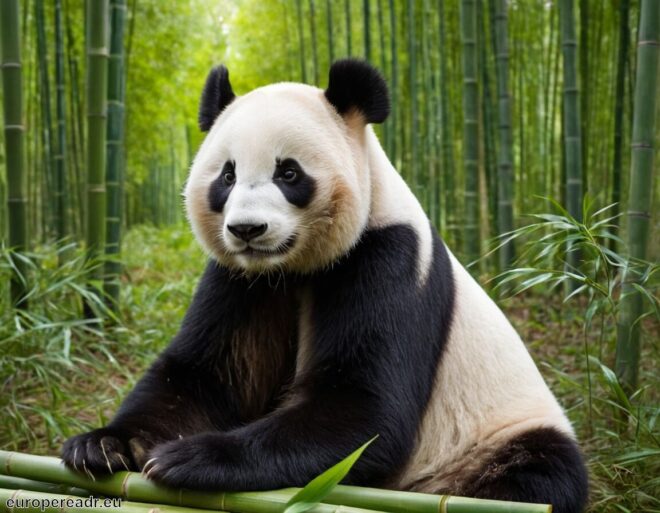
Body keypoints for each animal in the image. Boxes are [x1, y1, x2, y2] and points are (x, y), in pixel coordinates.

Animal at [62, 59, 588, 513]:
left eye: (288, 172)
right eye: (227, 175)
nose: (247, 230)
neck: (292, 266)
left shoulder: (387, 257)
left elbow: (362, 409)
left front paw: (190, 458)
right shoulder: (240, 279)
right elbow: (207, 375)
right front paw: (103, 445)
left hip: (494, 436)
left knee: (537, 475)